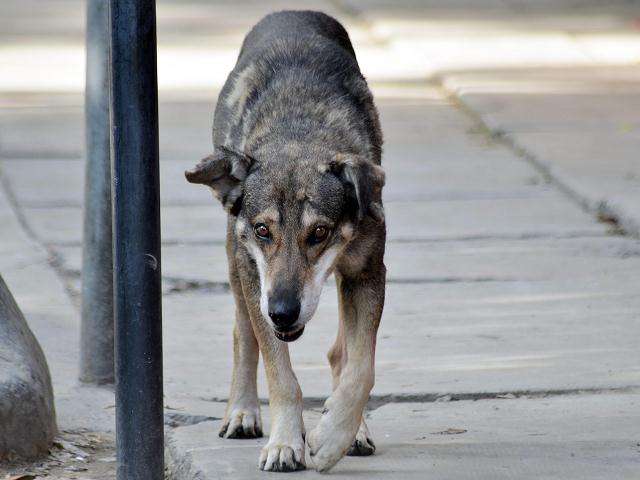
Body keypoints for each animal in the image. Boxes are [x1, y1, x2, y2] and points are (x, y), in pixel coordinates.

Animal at [185, 11, 384, 472]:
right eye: (263, 230)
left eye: (320, 233)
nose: (282, 312)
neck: (298, 134)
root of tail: (292, 12)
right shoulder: (256, 279)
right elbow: (282, 376)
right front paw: (284, 443)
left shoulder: (368, 273)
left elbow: (360, 367)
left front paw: (333, 436)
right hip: (237, 267)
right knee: (243, 333)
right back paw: (242, 413)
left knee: (339, 352)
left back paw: (354, 430)